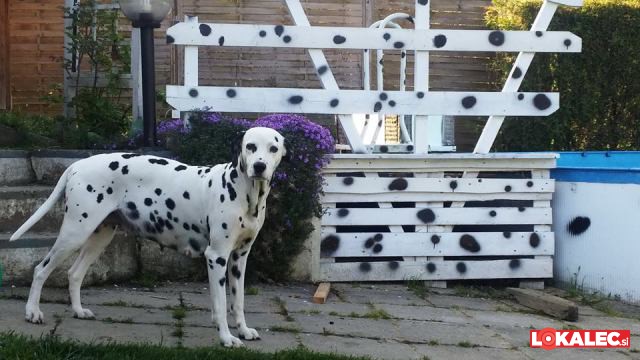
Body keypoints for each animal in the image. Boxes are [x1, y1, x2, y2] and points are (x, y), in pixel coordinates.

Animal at [10, 127, 288, 348]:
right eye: (250, 146)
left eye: (273, 148)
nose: (259, 166)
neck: (244, 192)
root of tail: (77, 165)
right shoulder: (216, 257)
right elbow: (221, 304)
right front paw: (227, 338)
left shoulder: (239, 258)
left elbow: (237, 301)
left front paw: (243, 330)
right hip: (74, 234)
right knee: (41, 269)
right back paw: (32, 312)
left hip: (99, 237)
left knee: (74, 273)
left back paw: (78, 311)